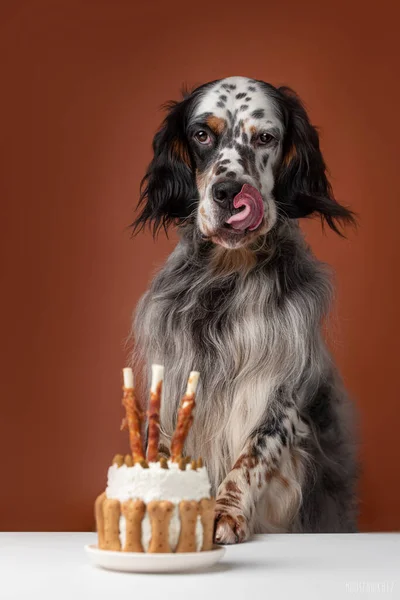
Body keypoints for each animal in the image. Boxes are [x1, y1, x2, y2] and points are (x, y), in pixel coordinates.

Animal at [132, 76, 360, 544]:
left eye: (266, 138)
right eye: (202, 134)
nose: (228, 192)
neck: (229, 270)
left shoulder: (282, 389)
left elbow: (252, 454)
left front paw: (224, 511)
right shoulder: (176, 376)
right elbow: (161, 448)